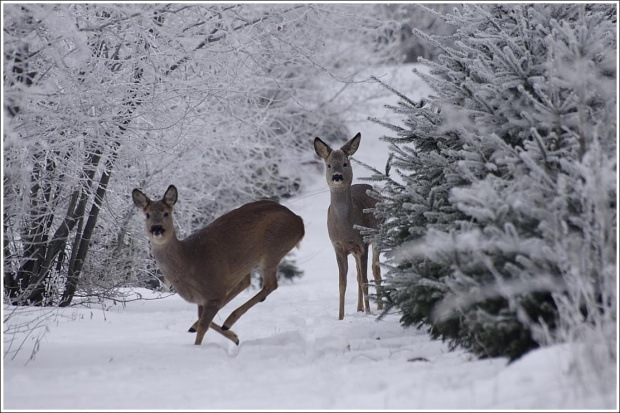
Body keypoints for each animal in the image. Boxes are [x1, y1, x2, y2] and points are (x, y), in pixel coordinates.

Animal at [131, 184, 306, 344]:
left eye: (166, 213)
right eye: (147, 215)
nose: (157, 229)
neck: (189, 260)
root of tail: (299, 221)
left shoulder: (212, 292)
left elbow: (204, 326)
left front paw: (197, 348)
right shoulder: (203, 298)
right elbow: (202, 318)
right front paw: (234, 338)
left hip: (273, 248)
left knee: (270, 284)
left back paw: (228, 322)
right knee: (246, 282)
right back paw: (220, 328)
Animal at [314, 132, 382, 318]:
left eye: (345, 163)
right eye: (329, 165)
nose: (337, 176)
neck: (344, 227)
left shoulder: (362, 244)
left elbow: (365, 280)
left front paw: (368, 313)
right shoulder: (338, 246)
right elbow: (342, 283)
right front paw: (340, 317)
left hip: (377, 236)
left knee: (375, 270)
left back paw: (379, 307)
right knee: (358, 274)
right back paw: (359, 308)